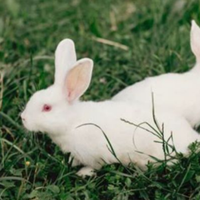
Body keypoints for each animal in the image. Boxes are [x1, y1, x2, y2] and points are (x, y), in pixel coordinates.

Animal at [21, 38, 200, 176]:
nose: (23, 118)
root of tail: (192, 137)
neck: (72, 123)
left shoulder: (97, 156)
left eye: (47, 108)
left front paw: (83, 173)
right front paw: (72, 163)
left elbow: (94, 166)